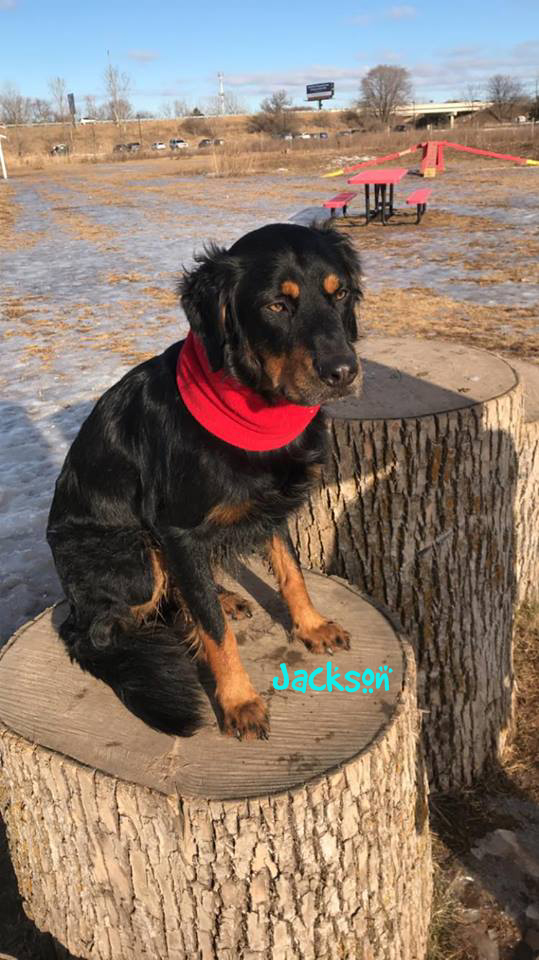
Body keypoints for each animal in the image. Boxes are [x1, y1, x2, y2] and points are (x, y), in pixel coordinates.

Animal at [47, 222, 362, 740]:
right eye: (277, 306)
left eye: (340, 295)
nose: (344, 372)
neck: (255, 408)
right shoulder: (178, 530)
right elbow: (215, 631)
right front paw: (239, 700)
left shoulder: (269, 507)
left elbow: (292, 571)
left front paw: (311, 626)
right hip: (135, 558)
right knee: (101, 630)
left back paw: (223, 595)